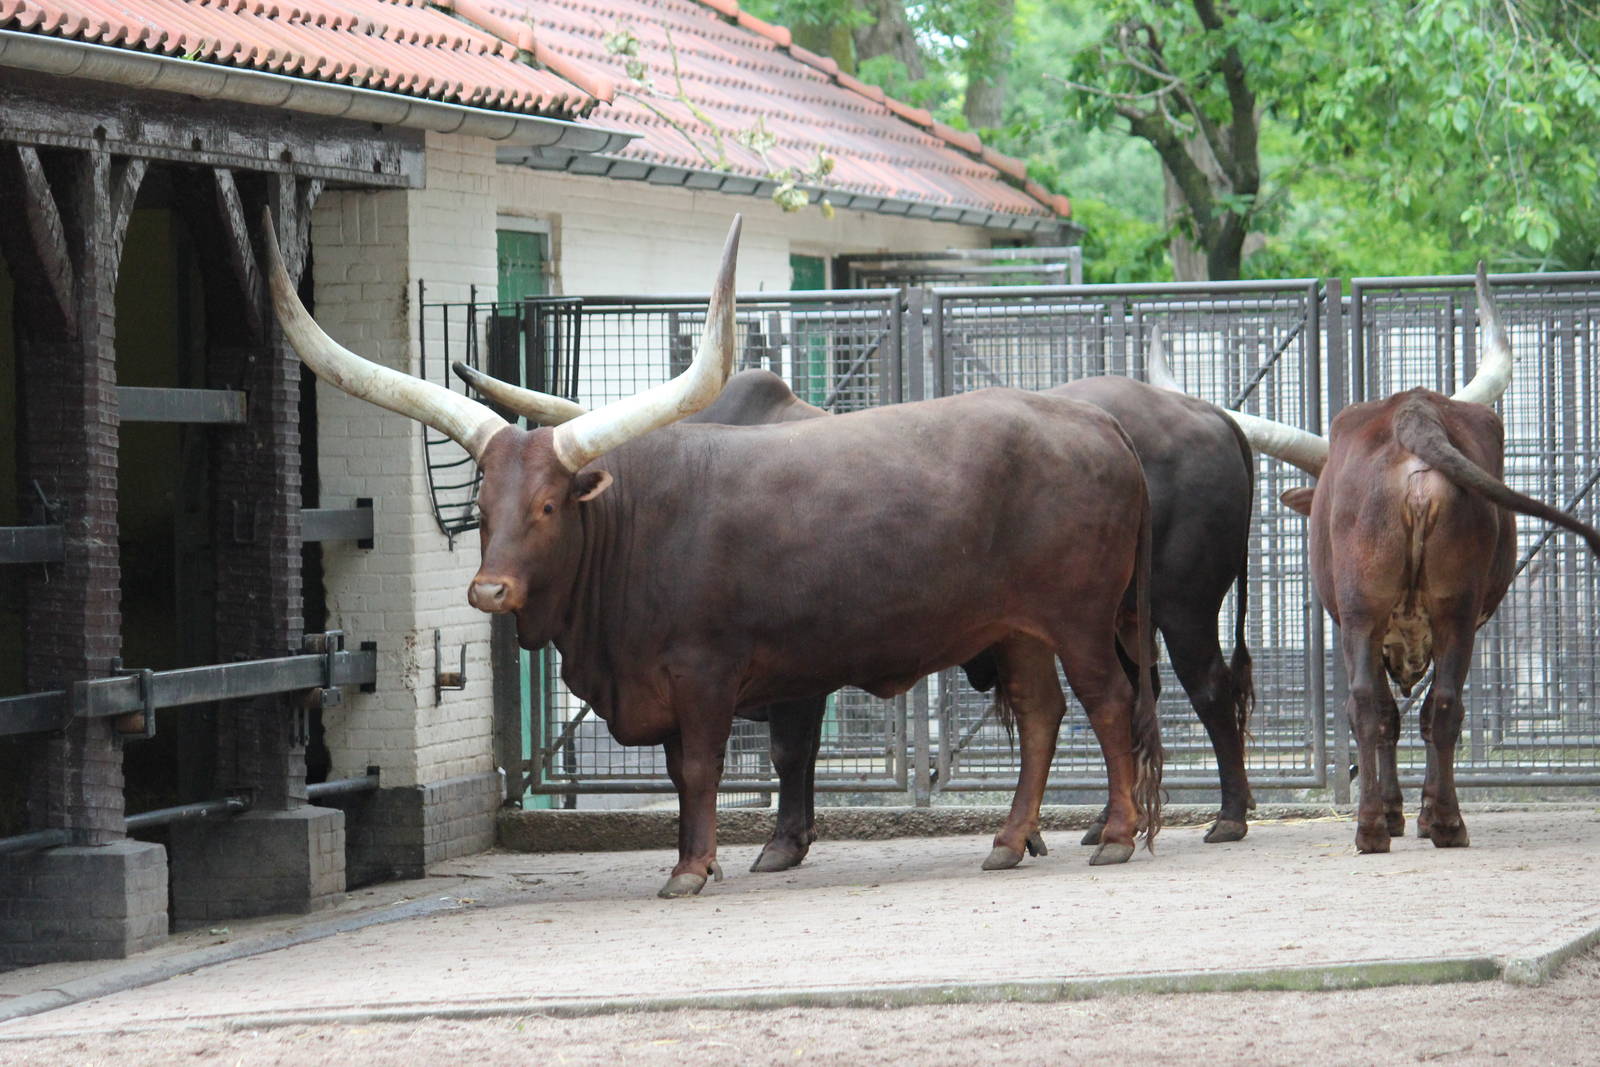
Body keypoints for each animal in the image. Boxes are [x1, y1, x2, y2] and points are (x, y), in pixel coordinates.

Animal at [264, 213, 1165, 897]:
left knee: (1109, 701)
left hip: (1081, 616)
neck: (629, 525)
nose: (489, 591)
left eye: (549, 505)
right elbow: (684, 772)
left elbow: (702, 767)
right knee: (1043, 713)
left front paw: (692, 870)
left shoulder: (705, 671)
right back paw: (1010, 840)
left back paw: (1118, 833)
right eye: (481, 509)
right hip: (1018, 628)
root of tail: (1098, 424)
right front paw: (699, 856)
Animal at [1153, 267, 1600, 853]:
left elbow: (1387, 712)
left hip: (1366, 614)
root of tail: (1413, 416)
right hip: (1449, 613)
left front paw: (1394, 811)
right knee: (1436, 704)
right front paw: (1408, 813)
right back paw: (1437, 823)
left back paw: (1382, 826)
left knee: (1375, 706)